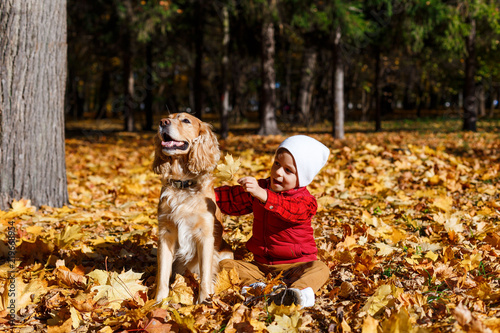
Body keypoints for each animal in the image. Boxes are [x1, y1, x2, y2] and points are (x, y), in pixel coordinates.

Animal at [151, 113, 233, 302]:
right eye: (167, 117)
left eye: (186, 120)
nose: (162, 122)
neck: (183, 183)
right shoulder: (166, 234)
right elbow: (163, 275)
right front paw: (159, 302)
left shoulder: (205, 235)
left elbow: (205, 274)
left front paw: (204, 301)